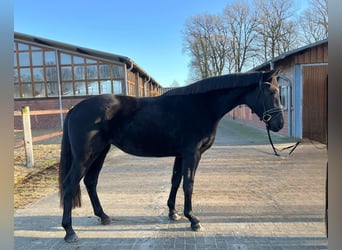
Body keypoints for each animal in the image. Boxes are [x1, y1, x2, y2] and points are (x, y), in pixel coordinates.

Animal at [58, 69, 284, 242]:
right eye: (272, 91)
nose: (279, 124)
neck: (201, 106)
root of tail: (75, 109)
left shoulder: (180, 154)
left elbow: (176, 181)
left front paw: (173, 213)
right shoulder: (192, 154)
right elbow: (188, 184)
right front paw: (193, 219)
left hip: (100, 152)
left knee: (90, 181)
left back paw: (103, 216)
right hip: (86, 155)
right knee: (70, 185)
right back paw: (70, 231)